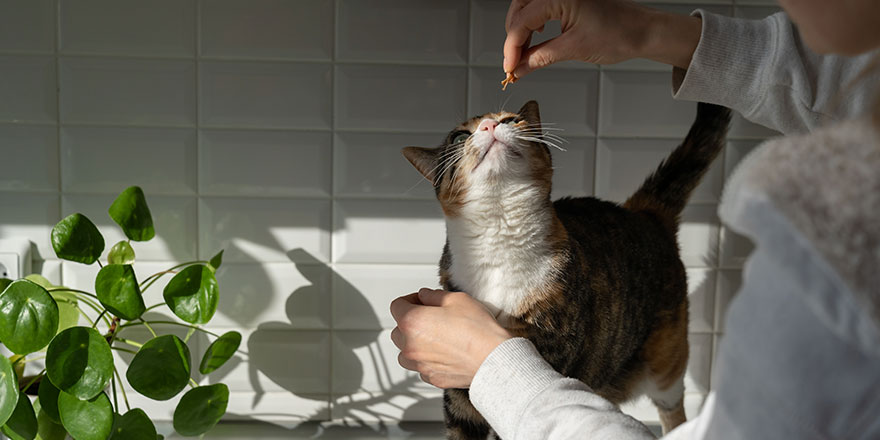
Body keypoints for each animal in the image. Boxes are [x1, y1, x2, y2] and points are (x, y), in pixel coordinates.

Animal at [402, 99, 732, 436]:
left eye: (511, 119)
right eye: (458, 137)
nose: (490, 126)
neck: (500, 231)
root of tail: (643, 213)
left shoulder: (551, 347)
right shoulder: (459, 396)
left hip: (667, 361)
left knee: (673, 407)